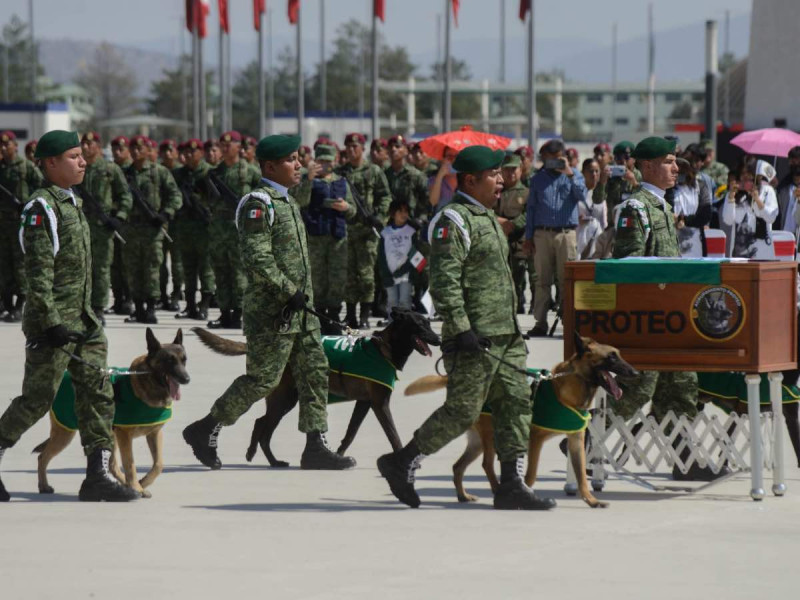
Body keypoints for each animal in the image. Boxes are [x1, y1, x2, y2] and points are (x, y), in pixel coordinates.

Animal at [34, 328, 189, 496]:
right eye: (169, 361)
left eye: (184, 360)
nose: (187, 379)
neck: (148, 381)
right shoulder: (125, 436)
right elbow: (130, 464)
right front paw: (136, 486)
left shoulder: (154, 434)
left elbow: (159, 464)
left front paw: (143, 483)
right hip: (65, 434)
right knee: (42, 457)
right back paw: (43, 485)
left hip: (107, 435)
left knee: (112, 466)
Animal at [193, 308, 440, 466]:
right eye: (420, 325)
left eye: (429, 323)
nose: (438, 339)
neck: (383, 348)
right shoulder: (380, 404)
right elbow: (393, 435)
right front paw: (401, 458)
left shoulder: (364, 403)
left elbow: (351, 433)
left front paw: (338, 454)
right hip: (284, 399)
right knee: (262, 425)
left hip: (287, 399)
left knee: (262, 424)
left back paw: (271, 460)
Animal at [406, 336, 636, 508]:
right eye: (611, 357)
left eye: (619, 355)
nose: (635, 372)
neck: (569, 388)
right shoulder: (535, 439)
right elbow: (531, 474)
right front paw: (526, 493)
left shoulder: (576, 441)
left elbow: (580, 475)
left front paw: (591, 500)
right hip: (491, 436)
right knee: (487, 464)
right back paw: (498, 492)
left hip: (478, 442)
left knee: (458, 466)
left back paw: (464, 495)